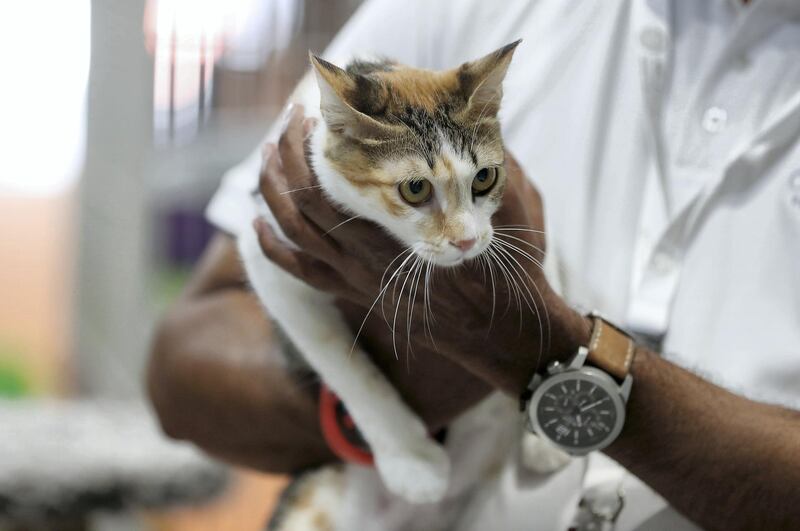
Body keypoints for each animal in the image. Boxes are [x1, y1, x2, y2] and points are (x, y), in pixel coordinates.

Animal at [238, 40, 532, 502]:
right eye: (415, 188)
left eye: (484, 177)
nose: (467, 241)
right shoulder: (270, 254)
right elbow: (344, 364)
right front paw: (411, 461)